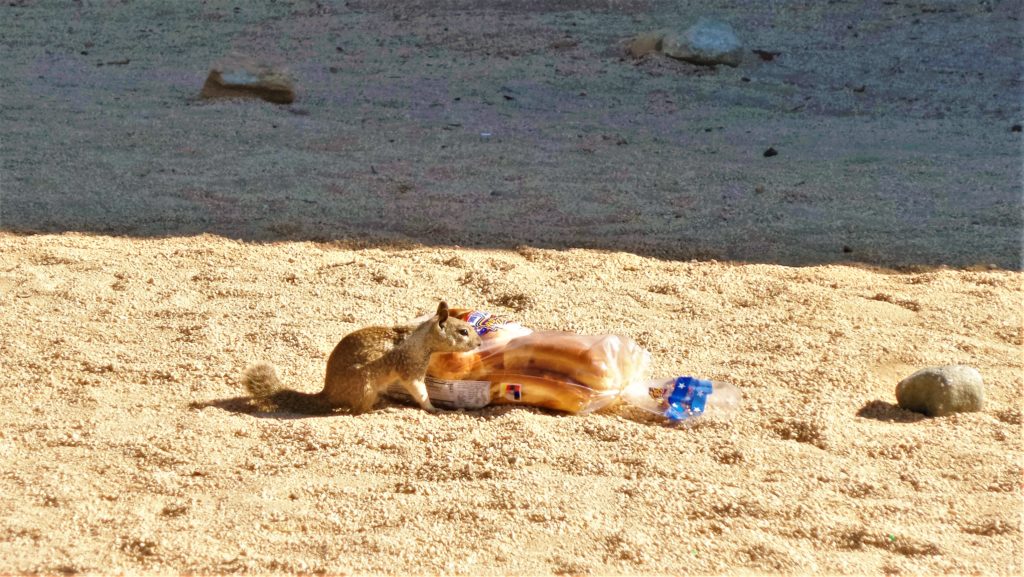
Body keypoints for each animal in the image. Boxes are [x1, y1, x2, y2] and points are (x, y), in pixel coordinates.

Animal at [241, 301, 481, 414]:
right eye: (463, 332)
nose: (479, 344)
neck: (421, 338)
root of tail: (327, 393)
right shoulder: (411, 368)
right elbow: (420, 391)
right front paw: (433, 408)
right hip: (365, 386)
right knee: (356, 411)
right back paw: (378, 409)